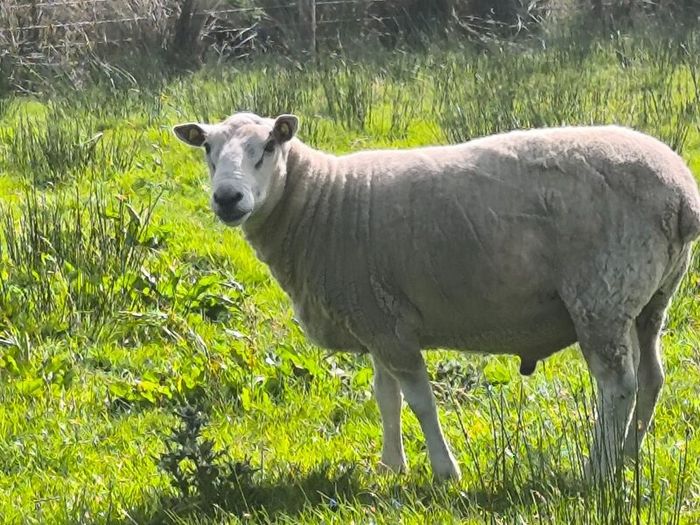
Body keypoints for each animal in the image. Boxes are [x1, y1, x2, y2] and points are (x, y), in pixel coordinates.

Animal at [173, 111, 700, 481]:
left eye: (268, 145)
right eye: (208, 149)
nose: (227, 199)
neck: (320, 201)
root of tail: (682, 193)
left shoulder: (389, 326)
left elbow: (421, 401)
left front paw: (446, 472)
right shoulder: (375, 317)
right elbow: (385, 398)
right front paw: (390, 467)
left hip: (601, 297)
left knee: (618, 387)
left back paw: (598, 470)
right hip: (650, 300)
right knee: (652, 377)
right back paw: (629, 457)